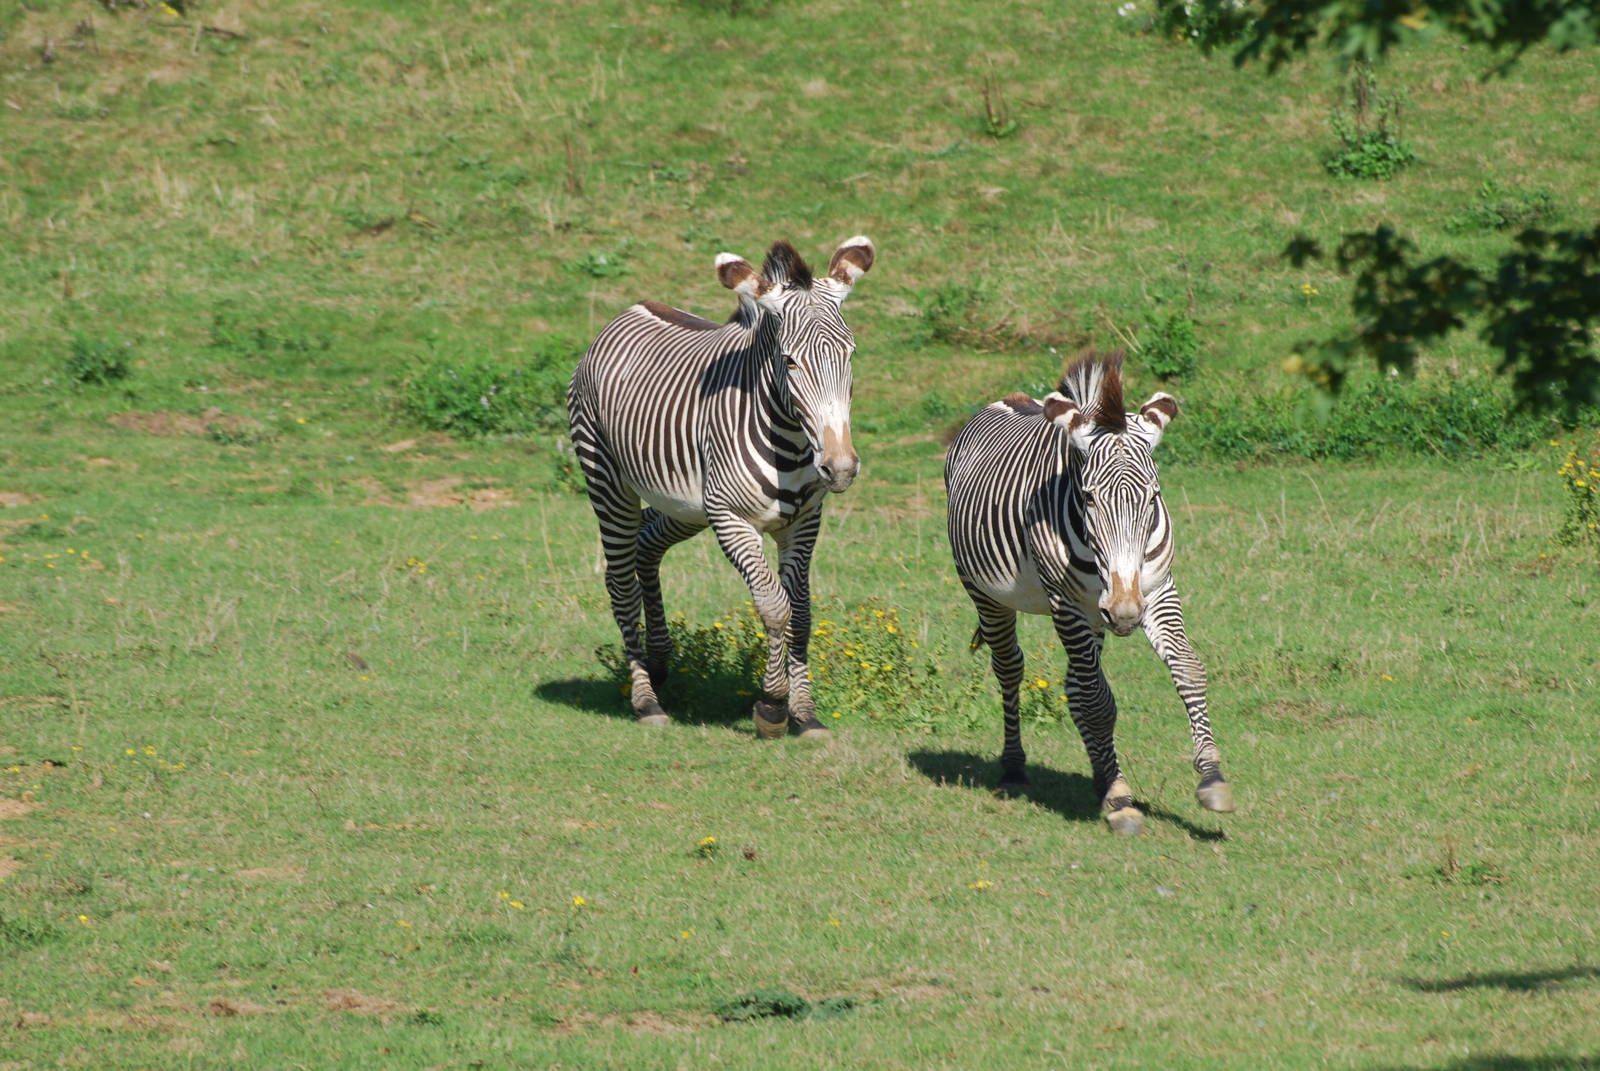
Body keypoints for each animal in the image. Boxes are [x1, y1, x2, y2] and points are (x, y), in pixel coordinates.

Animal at [567, 236, 875, 738]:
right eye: (789, 361)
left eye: (849, 355)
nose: (841, 467)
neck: (790, 442)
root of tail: (630, 309)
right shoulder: (731, 519)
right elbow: (774, 607)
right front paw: (772, 706)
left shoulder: (804, 522)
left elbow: (802, 612)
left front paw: (805, 713)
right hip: (607, 480)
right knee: (621, 582)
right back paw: (646, 700)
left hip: (684, 505)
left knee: (645, 547)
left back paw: (659, 663)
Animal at [944, 351, 1232, 835]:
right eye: (1088, 498)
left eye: (1153, 497)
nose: (1125, 613)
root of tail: (1011, 398)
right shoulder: (1068, 603)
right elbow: (1099, 702)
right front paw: (1120, 801)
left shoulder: (1157, 590)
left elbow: (1188, 669)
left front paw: (1211, 777)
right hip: (987, 592)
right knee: (1011, 668)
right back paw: (1015, 767)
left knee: (1076, 684)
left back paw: (1101, 775)